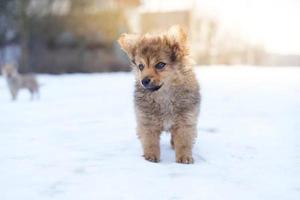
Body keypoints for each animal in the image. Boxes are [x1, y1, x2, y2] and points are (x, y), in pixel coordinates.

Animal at [118, 25, 200, 164]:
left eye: (160, 65)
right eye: (141, 66)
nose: (144, 81)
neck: (164, 96)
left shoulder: (185, 121)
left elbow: (184, 142)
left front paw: (184, 157)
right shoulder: (147, 122)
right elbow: (150, 142)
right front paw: (151, 156)